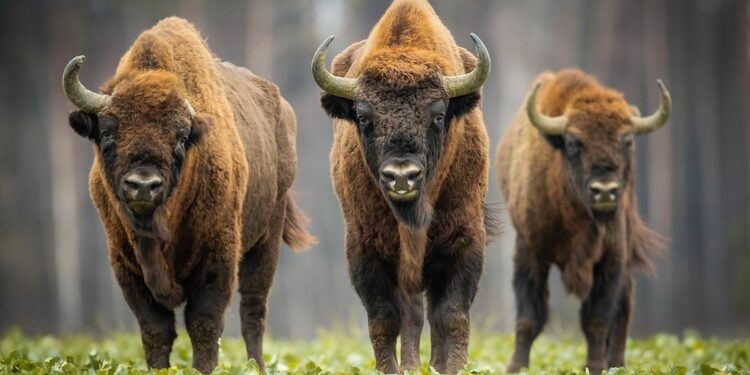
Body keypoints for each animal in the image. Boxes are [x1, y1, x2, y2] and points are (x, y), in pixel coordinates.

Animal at [61, 16, 314, 374]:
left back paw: (257, 366)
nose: (143, 185)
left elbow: (203, 323)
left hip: (267, 238)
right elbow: (155, 329)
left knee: (253, 312)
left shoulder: (217, 257)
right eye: (108, 131)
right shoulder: (125, 264)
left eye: (180, 137)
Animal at [310, 0, 494, 374]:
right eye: (363, 117)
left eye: (438, 115)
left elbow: (452, 317)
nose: (401, 176)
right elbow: (385, 319)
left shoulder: (464, 241)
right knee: (411, 318)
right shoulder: (365, 249)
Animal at [496, 69, 672, 374]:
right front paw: (516, 367)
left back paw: (617, 363)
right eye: (573, 142)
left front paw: (597, 366)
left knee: (623, 306)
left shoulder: (612, 258)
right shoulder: (529, 251)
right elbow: (528, 318)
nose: (605, 191)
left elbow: (597, 319)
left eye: (627, 141)